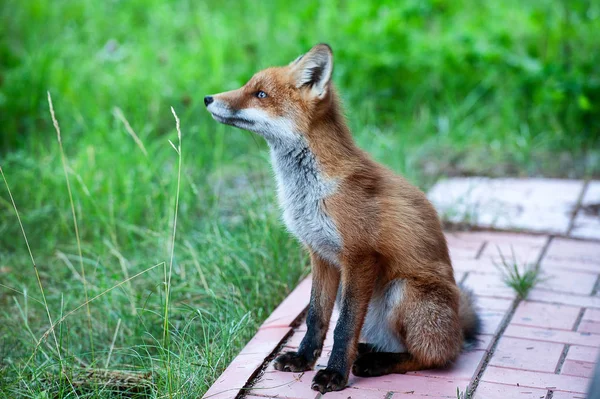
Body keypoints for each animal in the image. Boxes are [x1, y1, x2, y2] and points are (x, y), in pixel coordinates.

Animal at [204, 43, 480, 394]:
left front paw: (334, 374)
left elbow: (344, 327)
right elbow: (316, 318)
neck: (309, 191)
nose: (208, 98)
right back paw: (369, 350)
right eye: (248, 86)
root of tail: (458, 327)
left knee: (432, 356)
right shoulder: (320, 255)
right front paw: (304, 359)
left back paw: (375, 363)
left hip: (403, 290)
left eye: (260, 94)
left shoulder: (359, 256)